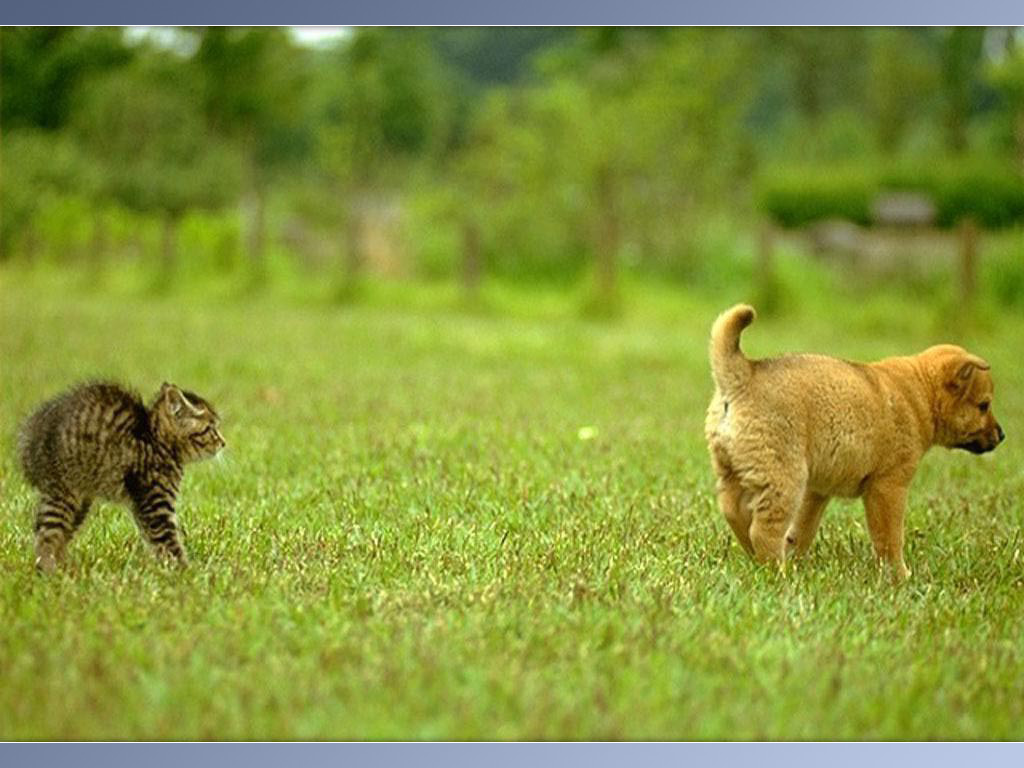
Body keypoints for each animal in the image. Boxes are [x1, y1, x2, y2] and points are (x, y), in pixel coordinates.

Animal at [16, 382, 225, 573]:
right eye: (211, 429)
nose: (223, 443)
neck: (157, 442)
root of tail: (28, 440)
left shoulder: (144, 506)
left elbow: (155, 541)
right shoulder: (154, 504)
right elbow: (169, 543)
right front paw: (186, 572)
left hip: (79, 501)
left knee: (56, 534)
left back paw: (65, 568)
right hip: (64, 493)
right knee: (46, 535)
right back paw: (51, 571)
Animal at [708, 303, 1003, 581]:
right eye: (983, 405)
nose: (1002, 435)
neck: (920, 395)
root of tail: (744, 375)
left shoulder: (817, 491)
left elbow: (803, 529)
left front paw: (795, 557)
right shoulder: (889, 486)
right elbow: (890, 538)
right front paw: (899, 576)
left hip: (734, 471)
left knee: (735, 513)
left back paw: (756, 558)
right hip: (784, 478)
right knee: (762, 529)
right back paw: (776, 573)